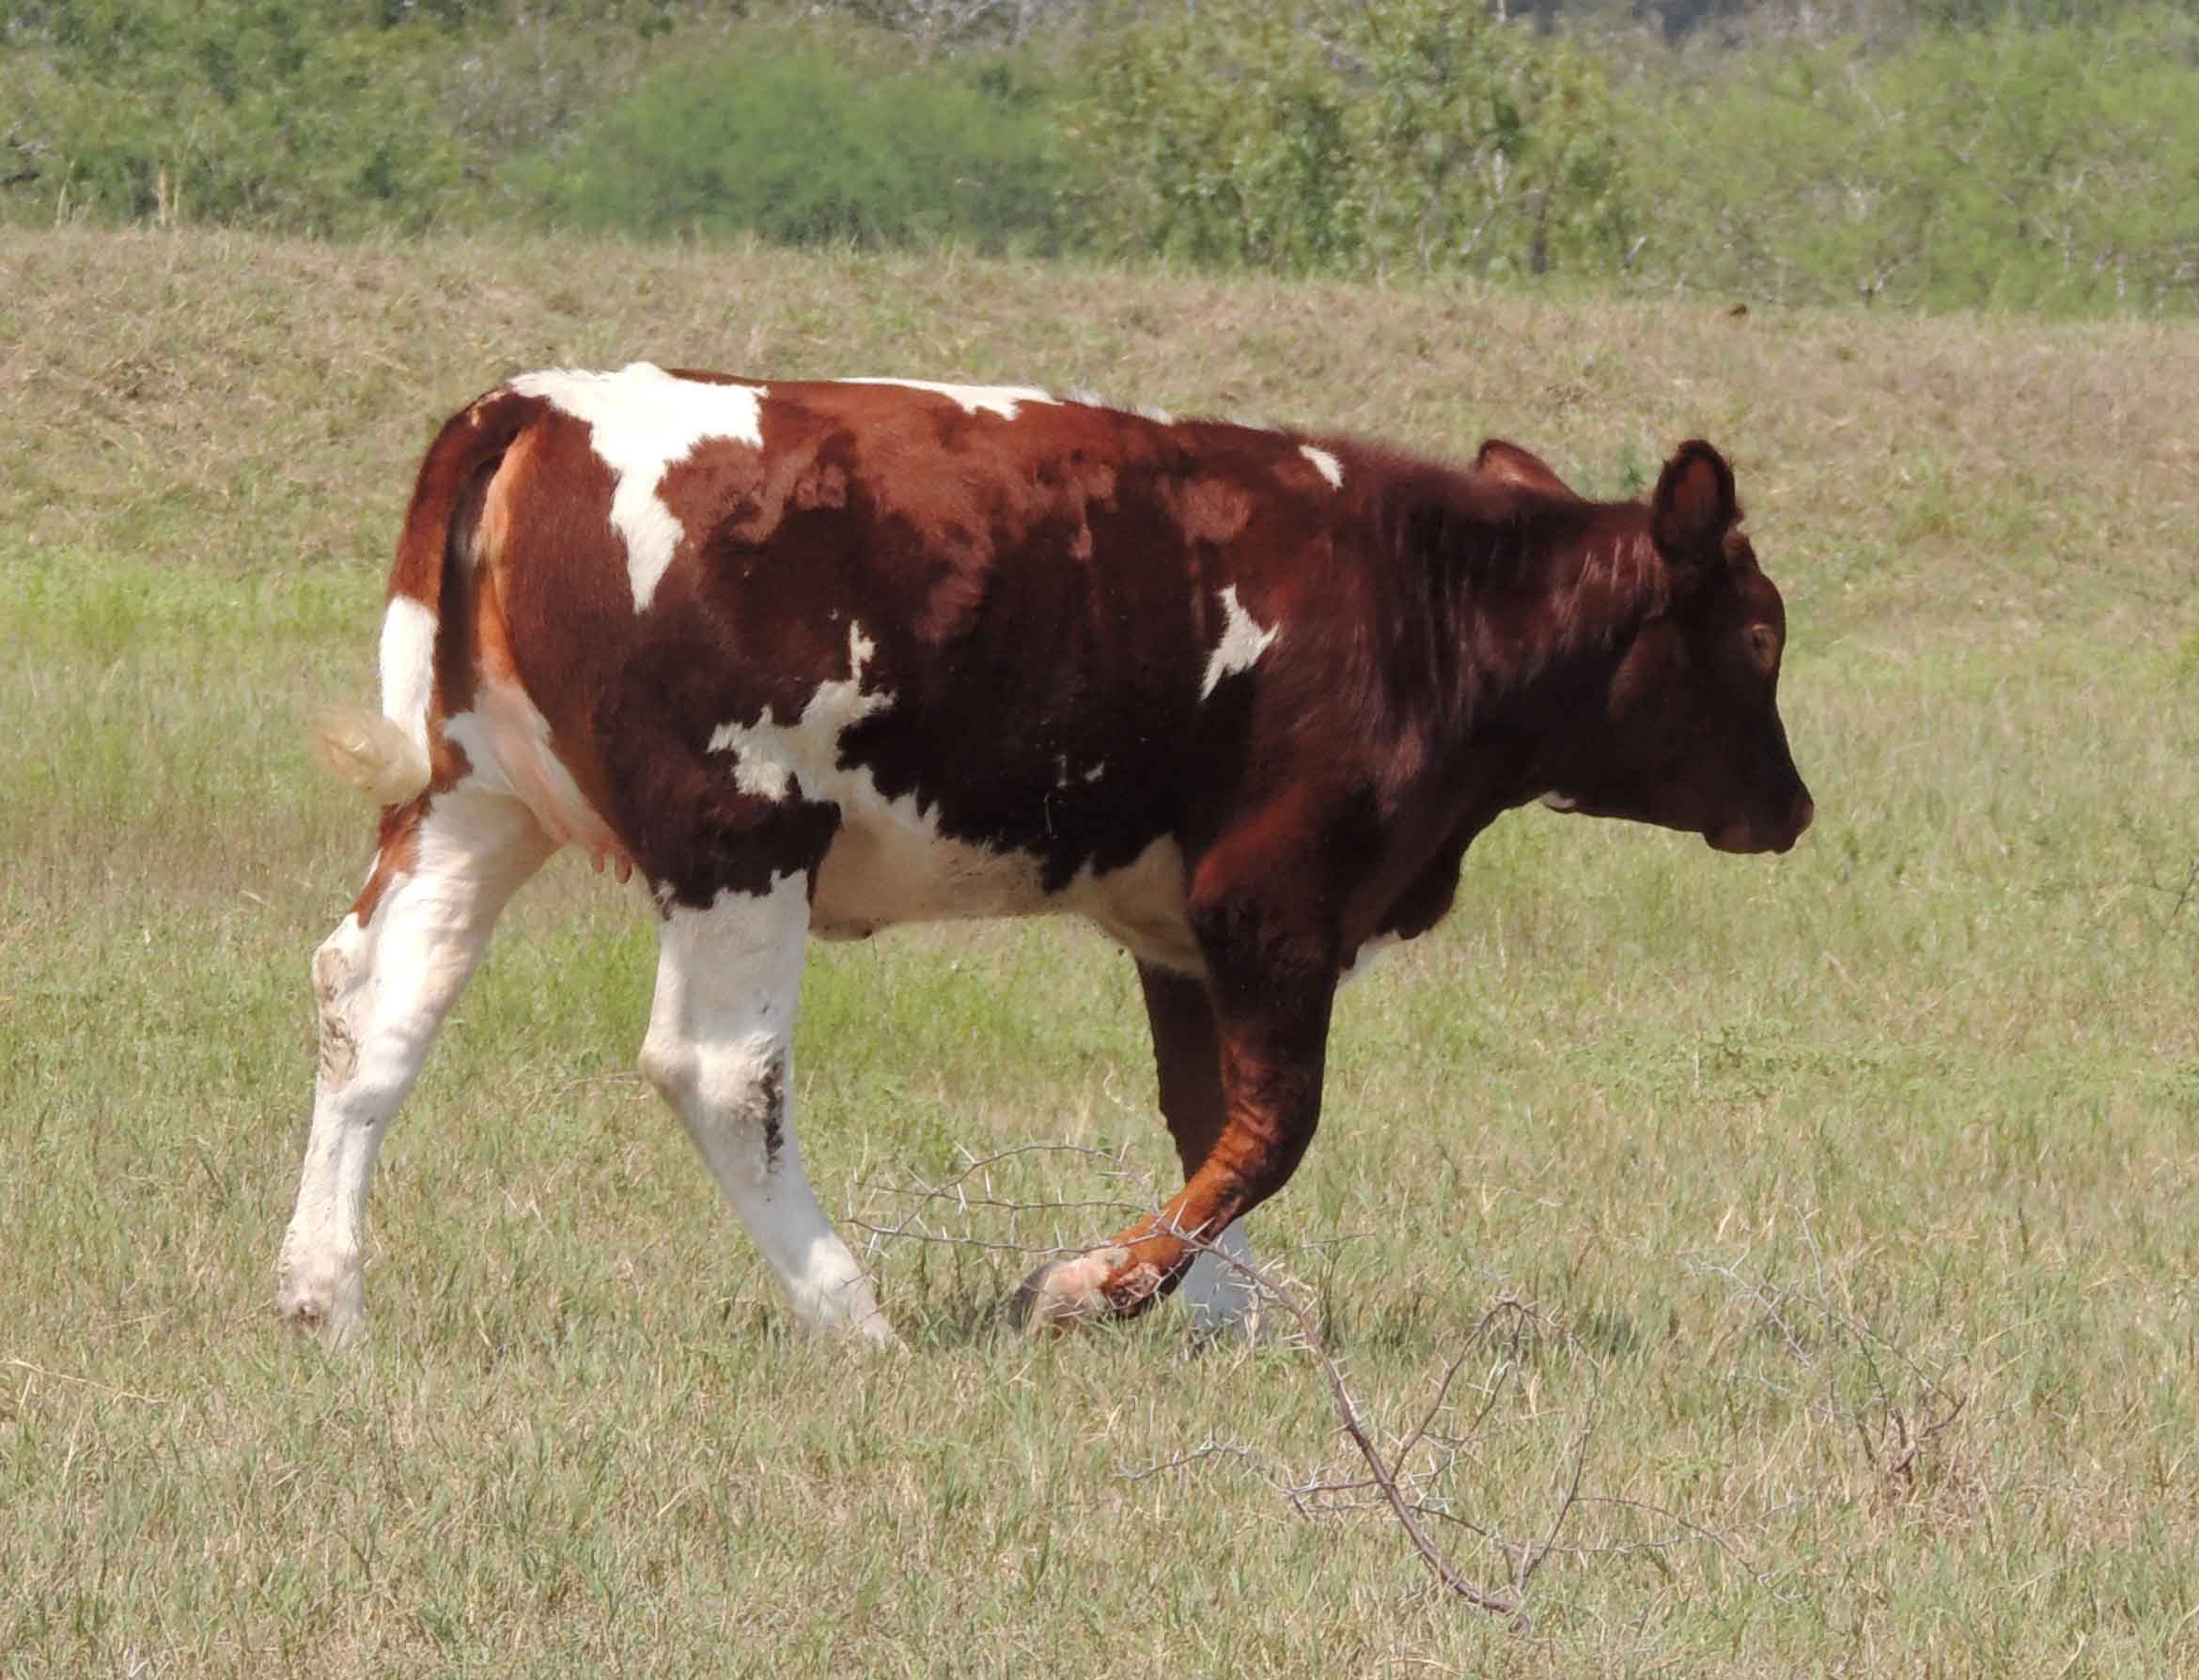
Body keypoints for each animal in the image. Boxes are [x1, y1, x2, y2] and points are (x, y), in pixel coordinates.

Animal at [278, 364, 1812, 1349]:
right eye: (1758, 634)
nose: (1794, 809)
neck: (1420, 596)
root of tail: (542, 403)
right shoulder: (1276, 897)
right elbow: (1274, 1126)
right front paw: (1096, 1289)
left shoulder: (1184, 926)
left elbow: (1209, 1117)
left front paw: (1217, 1313)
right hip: (744, 836)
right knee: (720, 1074)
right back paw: (854, 1318)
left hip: (477, 802)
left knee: (377, 1009)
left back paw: (322, 1295)